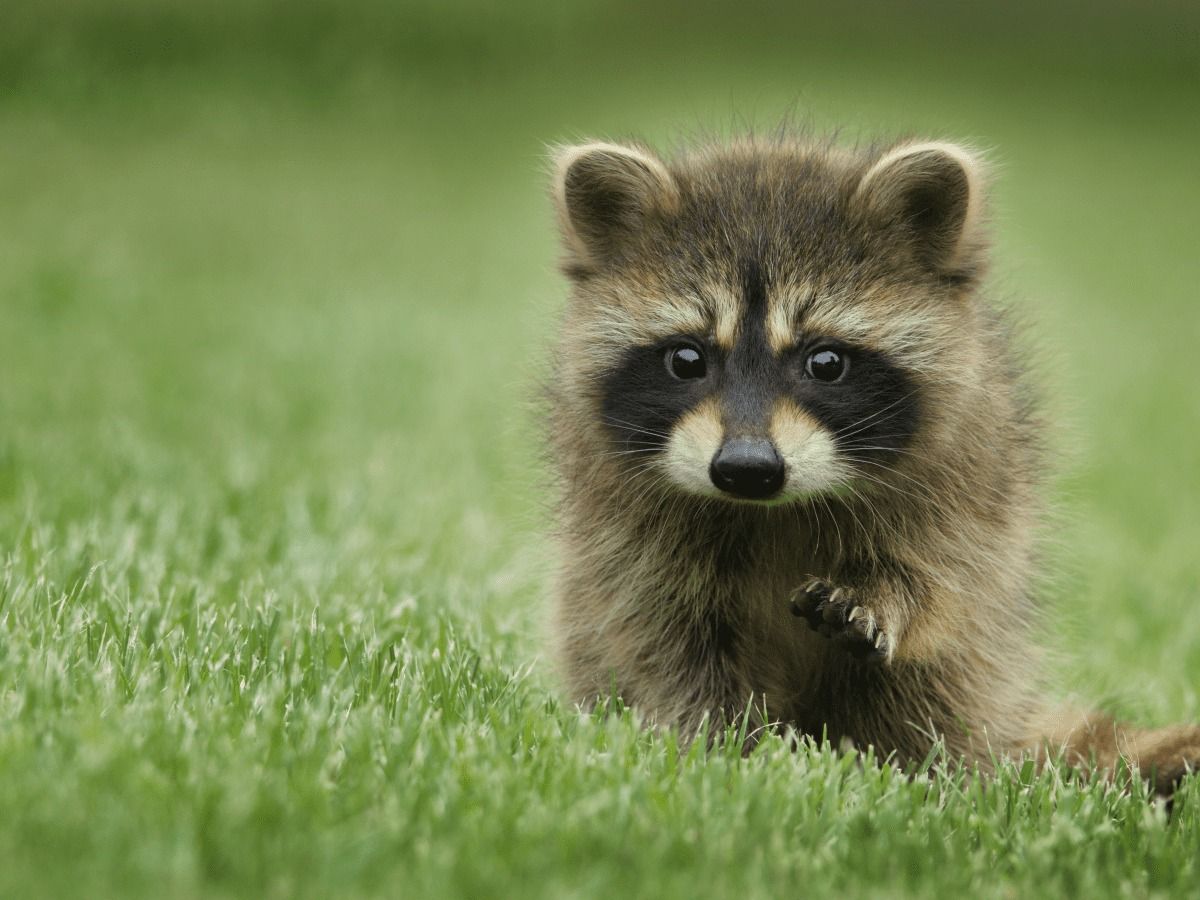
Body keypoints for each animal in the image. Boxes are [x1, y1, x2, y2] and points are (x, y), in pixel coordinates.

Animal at [547, 130, 1200, 792]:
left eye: (826, 362)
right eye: (687, 359)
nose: (747, 468)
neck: (774, 509)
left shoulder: (973, 474)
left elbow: (944, 581)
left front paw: (887, 594)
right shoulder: (626, 530)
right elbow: (661, 638)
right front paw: (722, 749)